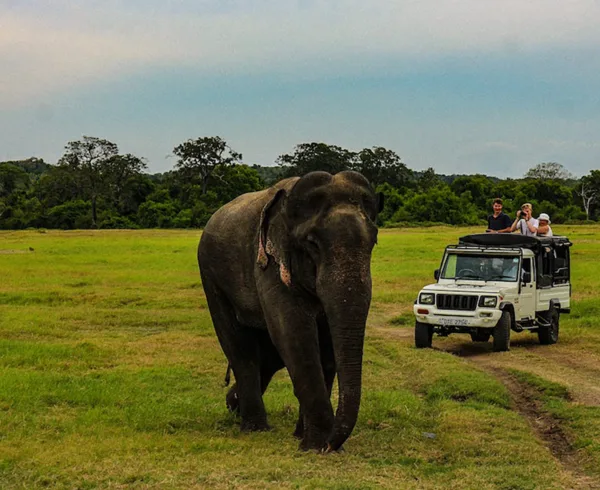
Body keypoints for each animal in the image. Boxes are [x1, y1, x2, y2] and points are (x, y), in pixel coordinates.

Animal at [199, 169, 382, 452]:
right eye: (312, 243)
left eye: (373, 241)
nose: (332, 444)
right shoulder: (269, 264)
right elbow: (294, 333)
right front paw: (316, 446)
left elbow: (325, 343)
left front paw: (307, 438)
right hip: (211, 277)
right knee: (240, 348)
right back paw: (254, 427)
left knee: (267, 356)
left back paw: (234, 405)